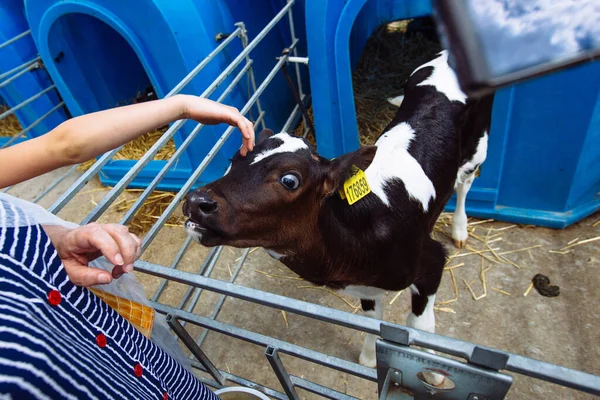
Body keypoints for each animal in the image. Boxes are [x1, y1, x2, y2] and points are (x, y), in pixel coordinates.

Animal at [185, 50, 494, 388]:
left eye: (290, 180)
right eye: (234, 159)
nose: (196, 201)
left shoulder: (431, 261)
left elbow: (420, 327)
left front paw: (435, 376)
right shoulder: (367, 287)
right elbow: (374, 321)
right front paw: (370, 357)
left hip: (478, 145)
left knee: (465, 183)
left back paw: (460, 228)